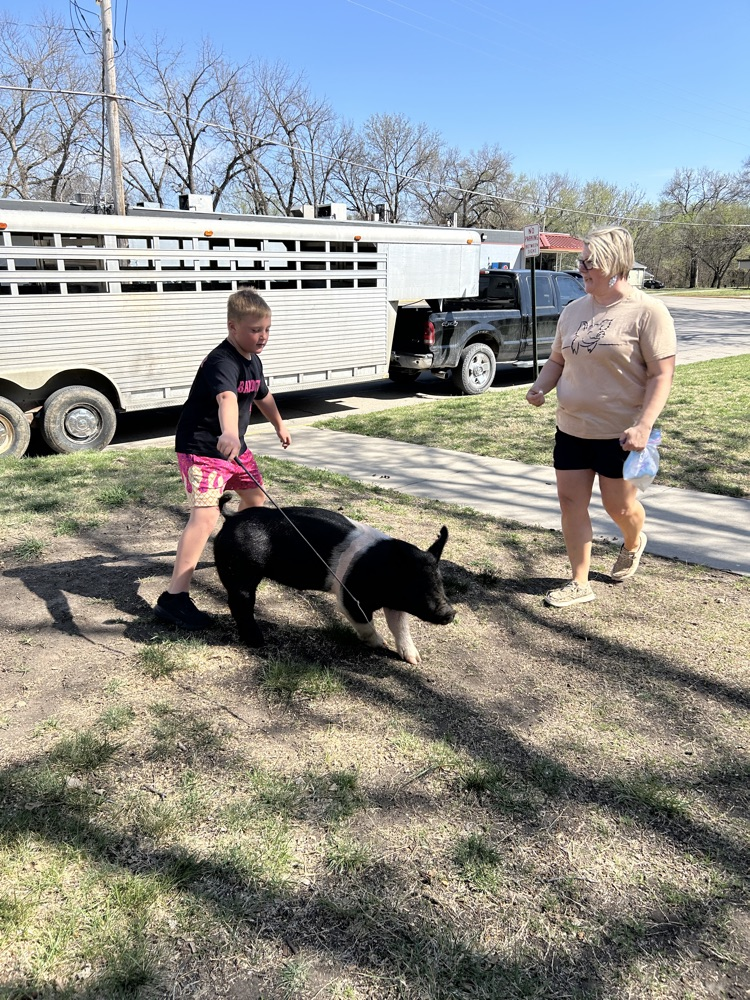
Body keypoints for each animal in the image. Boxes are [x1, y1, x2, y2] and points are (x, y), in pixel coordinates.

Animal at [213, 498, 455, 664]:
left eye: (440, 581)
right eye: (417, 584)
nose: (450, 612)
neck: (381, 569)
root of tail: (232, 517)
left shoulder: (395, 603)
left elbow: (399, 625)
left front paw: (415, 660)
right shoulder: (350, 597)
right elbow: (365, 623)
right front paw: (380, 644)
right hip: (240, 571)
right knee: (240, 603)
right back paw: (257, 640)